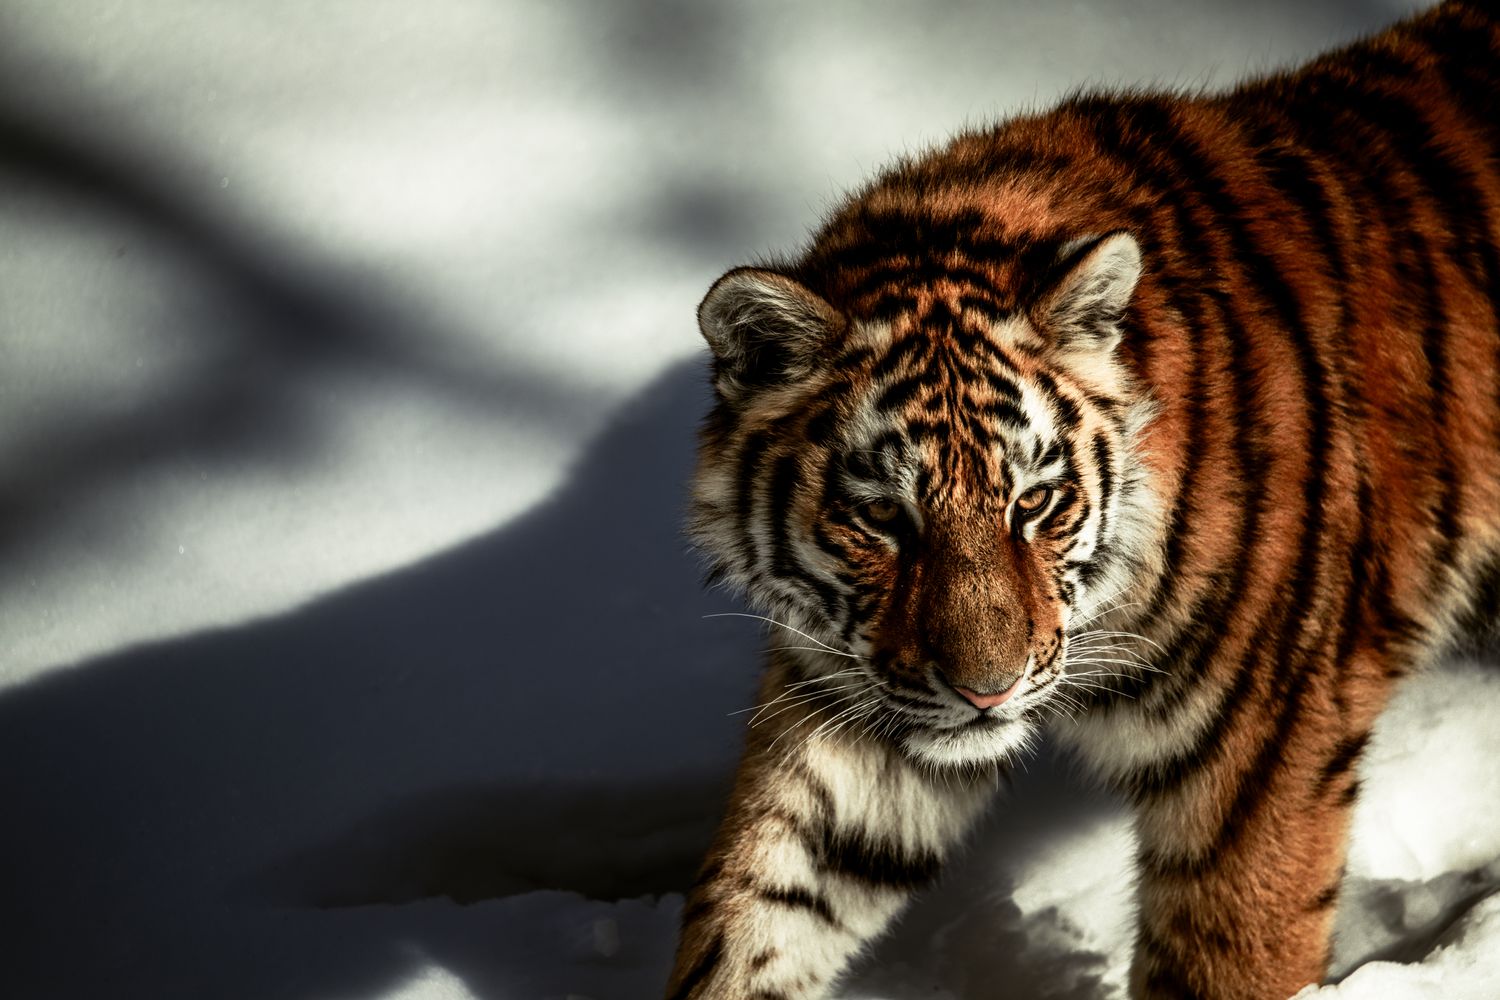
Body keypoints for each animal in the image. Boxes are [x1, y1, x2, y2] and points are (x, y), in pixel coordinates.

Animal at [663, 2, 1500, 998]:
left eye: (1036, 502)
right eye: (883, 517)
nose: (986, 694)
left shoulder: (1263, 761)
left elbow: (1229, 954)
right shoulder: (852, 704)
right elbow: (754, 912)